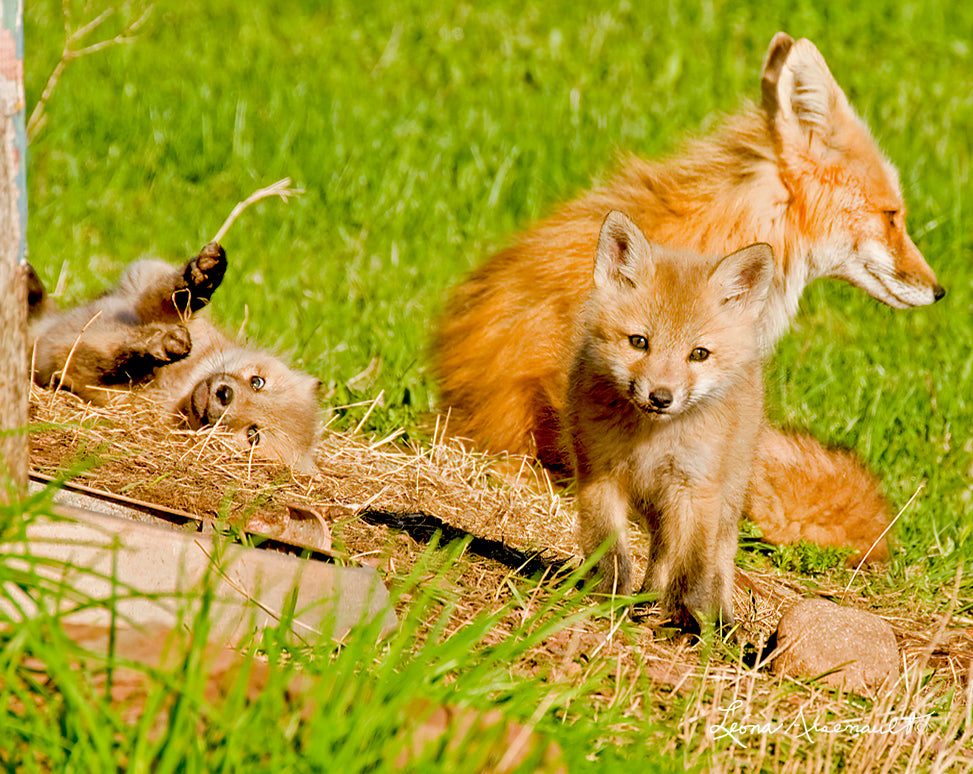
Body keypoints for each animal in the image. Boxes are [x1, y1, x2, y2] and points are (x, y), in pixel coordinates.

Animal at [26, 243, 322, 473]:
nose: (225, 395)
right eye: (257, 382)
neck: (181, 382)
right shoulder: (140, 284)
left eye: (253, 435)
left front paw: (154, 347)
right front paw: (202, 276)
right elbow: (169, 298)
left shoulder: (87, 380)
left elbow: (110, 362)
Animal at [569, 211, 773, 627]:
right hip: (656, 504)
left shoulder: (697, 487)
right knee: (661, 548)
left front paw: (685, 620)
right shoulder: (599, 473)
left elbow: (693, 568)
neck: (651, 440)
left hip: (725, 496)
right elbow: (609, 551)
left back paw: (719, 618)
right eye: (638, 342)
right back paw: (646, 599)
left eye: (699, 354)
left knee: (719, 557)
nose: (660, 398)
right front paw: (607, 599)